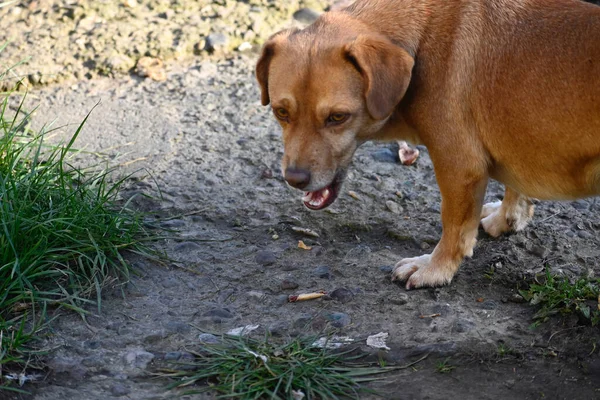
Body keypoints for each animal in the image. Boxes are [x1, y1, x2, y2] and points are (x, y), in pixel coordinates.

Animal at [255, 0, 600, 288]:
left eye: (338, 117)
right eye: (281, 112)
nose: (294, 179)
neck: (421, 38)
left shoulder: (459, 167)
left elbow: (453, 228)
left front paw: (436, 269)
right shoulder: (514, 138)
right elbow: (515, 189)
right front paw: (508, 217)